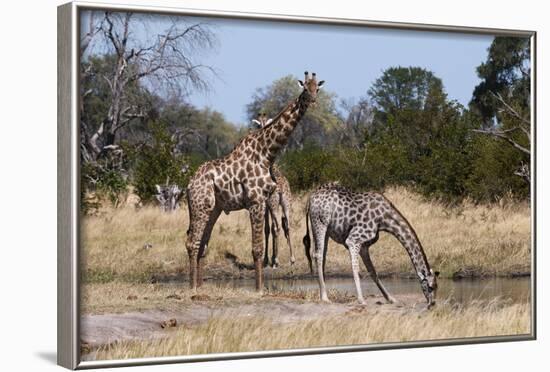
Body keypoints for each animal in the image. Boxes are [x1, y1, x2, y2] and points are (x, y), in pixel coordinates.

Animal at [253, 113, 298, 268]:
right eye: (259, 125)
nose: (261, 131)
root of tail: (282, 189)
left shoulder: (266, 205)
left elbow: (267, 229)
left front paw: (268, 259)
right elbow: (271, 228)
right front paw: (270, 257)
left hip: (274, 205)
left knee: (277, 227)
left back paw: (276, 260)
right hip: (286, 204)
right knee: (288, 226)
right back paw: (292, 259)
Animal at [302, 182, 440, 306]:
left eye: (437, 287)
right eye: (430, 287)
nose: (432, 303)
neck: (384, 219)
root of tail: (310, 198)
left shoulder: (364, 246)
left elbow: (373, 271)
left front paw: (391, 298)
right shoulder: (353, 240)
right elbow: (356, 268)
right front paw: (361, 300)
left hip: (322, 229)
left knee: (322, 256)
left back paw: (323, 294)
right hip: (320, 223)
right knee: (318, 255)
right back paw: (325, 298)